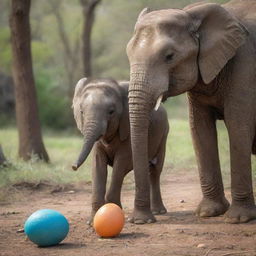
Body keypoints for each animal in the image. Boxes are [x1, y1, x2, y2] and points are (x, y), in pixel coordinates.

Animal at [71, 78, 170, 224]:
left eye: (111, 112)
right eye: (82, 112)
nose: (73, 167)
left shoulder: (127, 128)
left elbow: (121, 162)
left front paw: (112, 208)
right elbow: (98, 166)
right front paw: (92, 221)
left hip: (164, 134)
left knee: (155, 171)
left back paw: (159, 212)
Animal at [126, 0, 256, 224]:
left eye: (169, 56)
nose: (142, 220)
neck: (191, 14)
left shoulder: (245, 63)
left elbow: (238, 126)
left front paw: (238, 219)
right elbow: (200, 129)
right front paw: (208, 213)